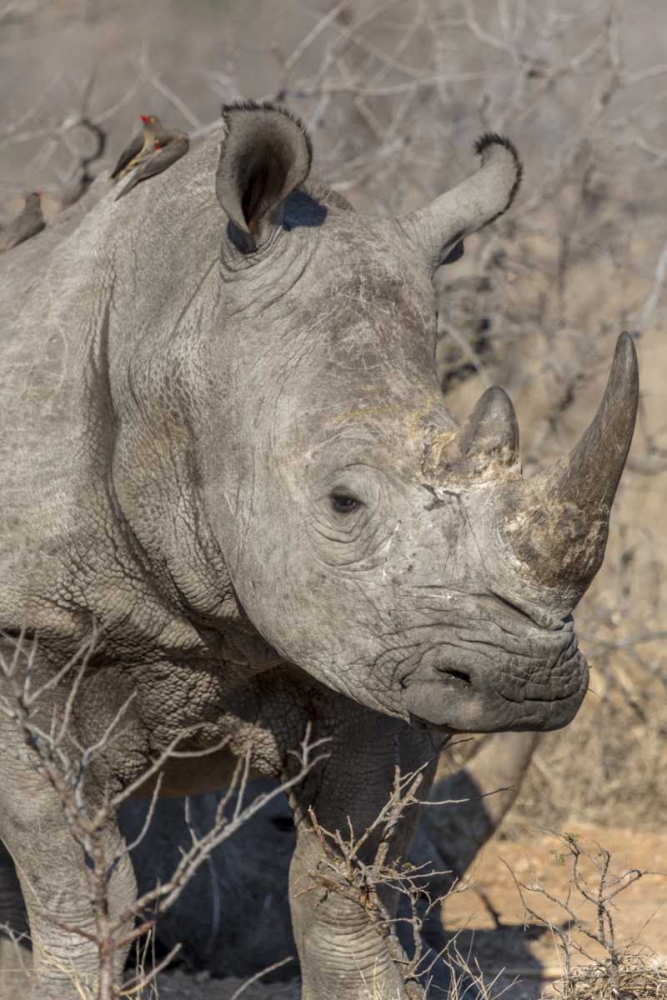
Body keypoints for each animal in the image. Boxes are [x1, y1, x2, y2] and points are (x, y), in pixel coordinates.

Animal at [0, 102, 638, 1000]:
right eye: (343, 501)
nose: (526, 686)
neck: (175, 334)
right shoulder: (22, 627)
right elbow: (75, 882)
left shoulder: (368, 643)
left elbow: (343, 883)